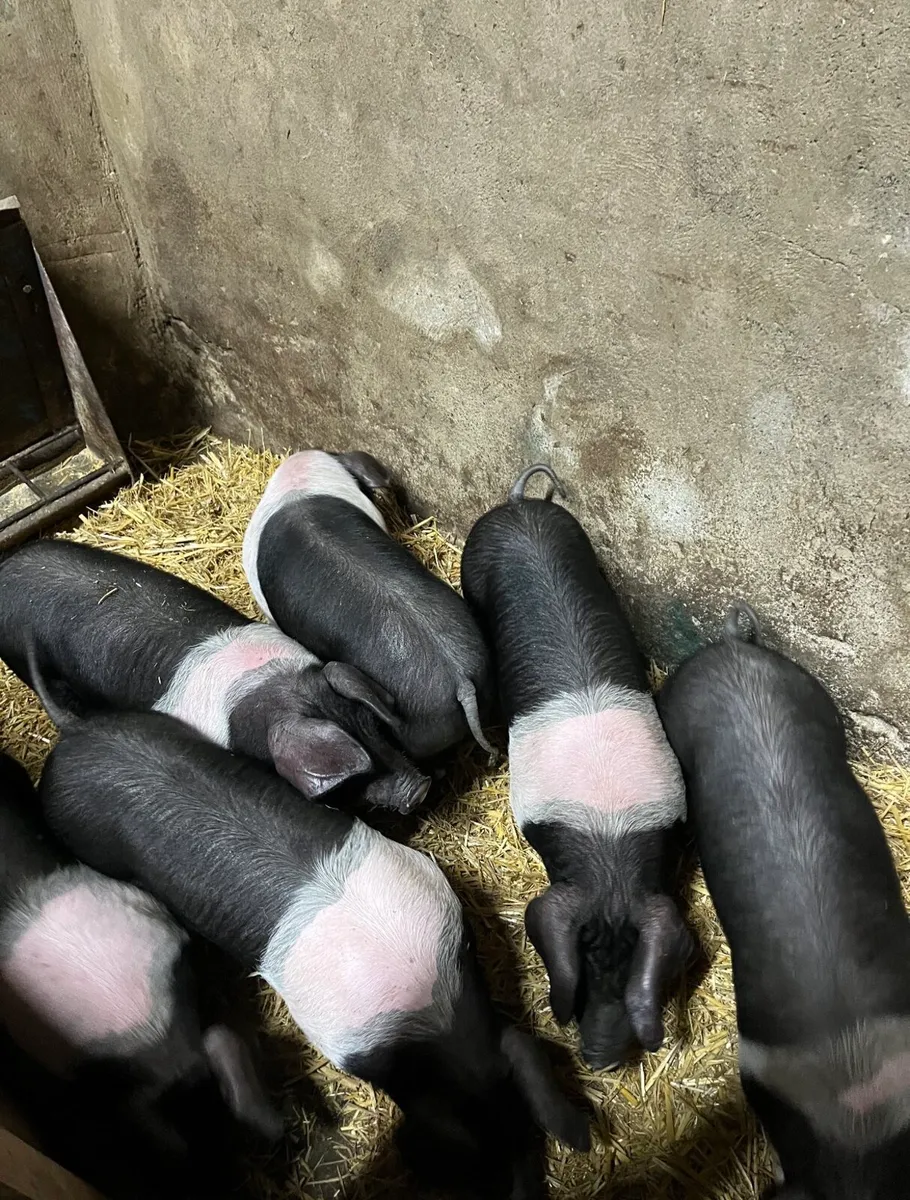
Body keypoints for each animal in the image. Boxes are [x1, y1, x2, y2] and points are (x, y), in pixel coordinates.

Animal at [460, 464, 693, 1070]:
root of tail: (519, 505)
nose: (600, 1058)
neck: (606, 839)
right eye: (583, 975)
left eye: (631, 972)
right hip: (472, 564)